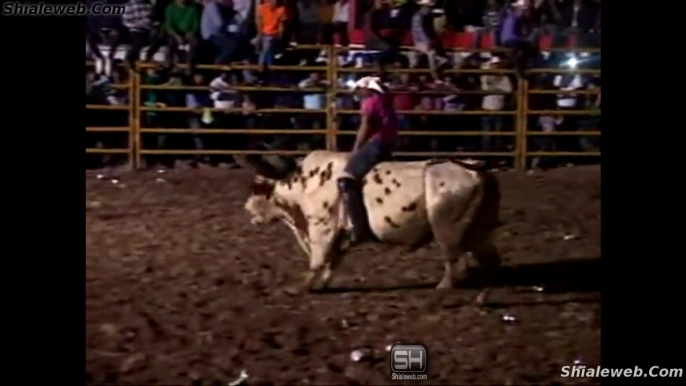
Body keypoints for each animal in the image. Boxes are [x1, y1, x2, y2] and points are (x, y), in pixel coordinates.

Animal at [245, 150, 502, 302]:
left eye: (257, 188)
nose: (247, 209)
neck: (306, 183)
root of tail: (474, 168)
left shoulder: (322, 228)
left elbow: (318, 259)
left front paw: (299, 287)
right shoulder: (339, 236)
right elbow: (331, 261)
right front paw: (323, 283)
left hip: (448, 227)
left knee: (454, 258)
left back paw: (444, 286)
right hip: (477, 228)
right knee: (489, 258)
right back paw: (483, 295)